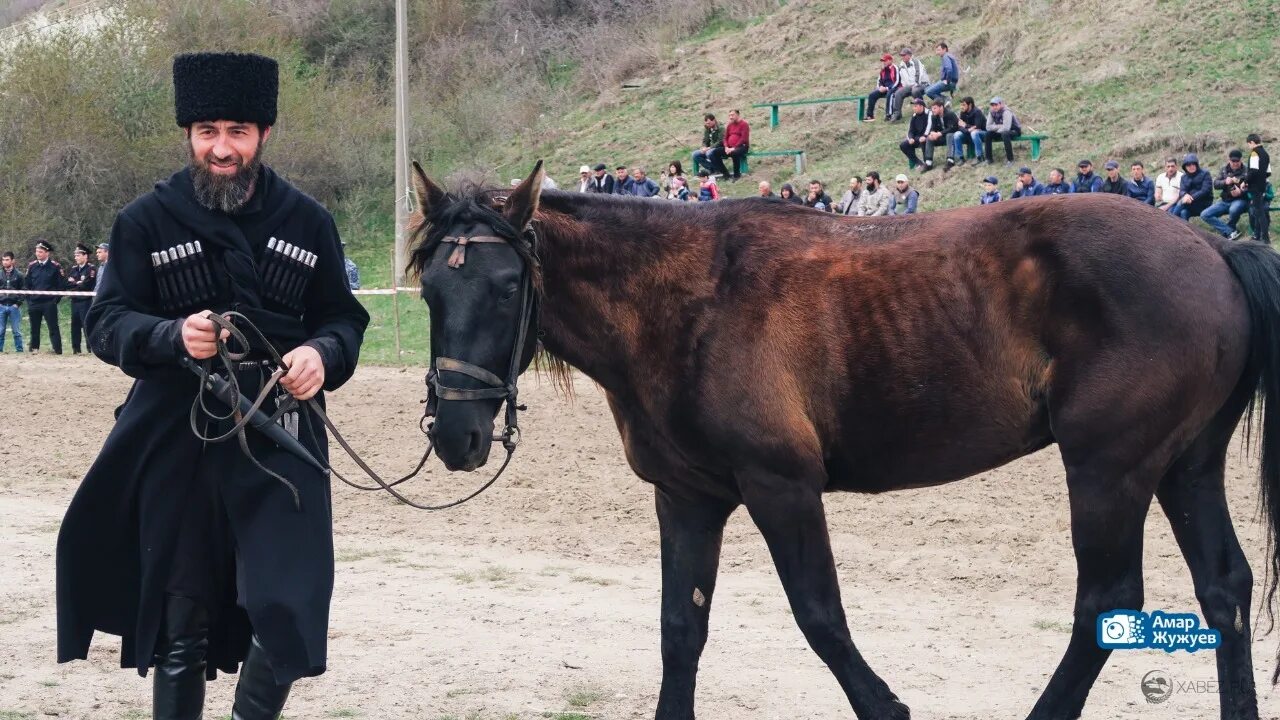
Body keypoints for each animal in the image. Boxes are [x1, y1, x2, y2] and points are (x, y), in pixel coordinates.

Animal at [407, 162, 1280, 717]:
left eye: (507, 286)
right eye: (430, 290)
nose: (456, 433)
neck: (687, 301)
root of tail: (1212, 247)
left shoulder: (782, 487)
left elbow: (820, 618)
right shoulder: (687, 499)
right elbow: (680, 631)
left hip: (1108, 470)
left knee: (1107, 601)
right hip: (1183, 468)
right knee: (1224, 589)